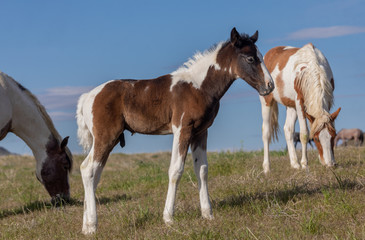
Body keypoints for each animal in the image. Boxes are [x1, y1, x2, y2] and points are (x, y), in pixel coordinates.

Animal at [77, 28, 274, 234]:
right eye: (250, 58)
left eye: (261, 56)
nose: (270, 86)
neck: (199, 87)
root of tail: (88, 97)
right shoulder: (182, 129)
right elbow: (176, 170)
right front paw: (168, 218)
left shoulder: (201, 132)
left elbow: (201, 169)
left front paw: (208, 214)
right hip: (106, 137)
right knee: (89, 170)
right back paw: (92, 226)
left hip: (107, 139)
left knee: (91, 171)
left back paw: (85, 227)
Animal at [258, 43, 340, 174]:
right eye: (316, 139)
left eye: (333, 135)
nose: (330, 164)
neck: (313, 68)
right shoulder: (300, 103)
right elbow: (304, 134)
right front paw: (305, 164)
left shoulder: (327, 101)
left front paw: (301, 164)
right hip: (266, 101)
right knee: (266, 132)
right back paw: (267, 168)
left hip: (291, 107)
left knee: (288, 130)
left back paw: (294, 164)